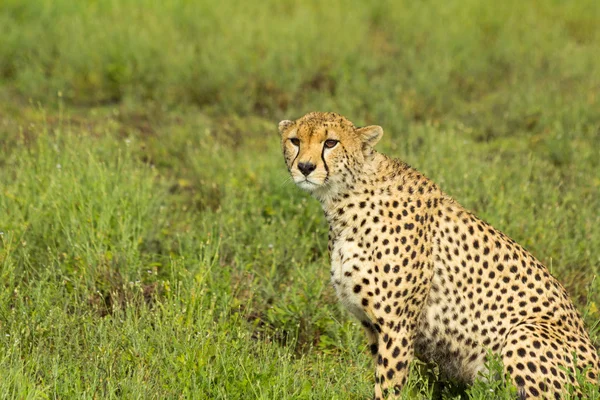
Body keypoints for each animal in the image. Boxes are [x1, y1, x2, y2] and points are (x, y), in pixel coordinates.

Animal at [278, 111, 596, 398]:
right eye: (295, 140)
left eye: (330, 143)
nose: (305, 167)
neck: (343, 201)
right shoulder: (372, 326)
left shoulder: (397, 324)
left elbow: (389, 385)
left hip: (524, 333)